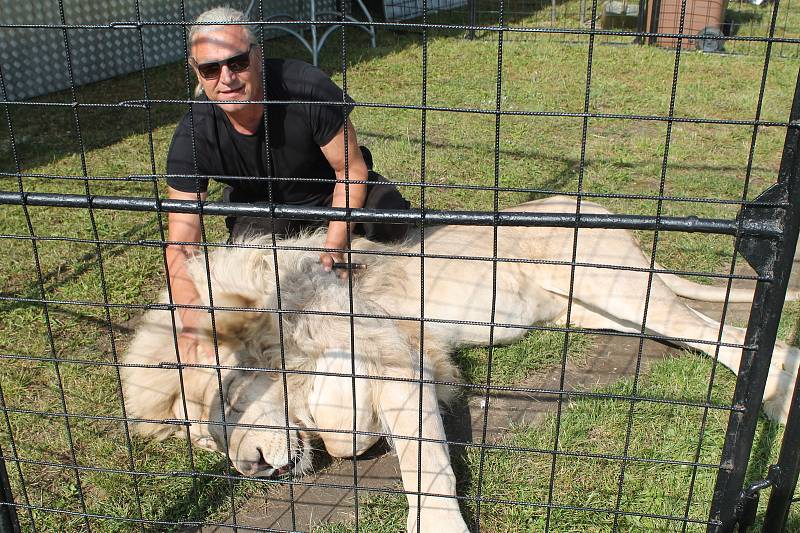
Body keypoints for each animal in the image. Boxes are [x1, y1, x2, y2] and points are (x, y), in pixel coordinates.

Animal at [120, 196, 800, 532]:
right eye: (209, 447)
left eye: (230, 404)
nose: (250, 470)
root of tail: (597, 205)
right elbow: (340, 429)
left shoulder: (400, 361)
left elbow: (422, 466)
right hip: (594, 310)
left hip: (612, 286)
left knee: (730, 336)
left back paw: (780, 393)